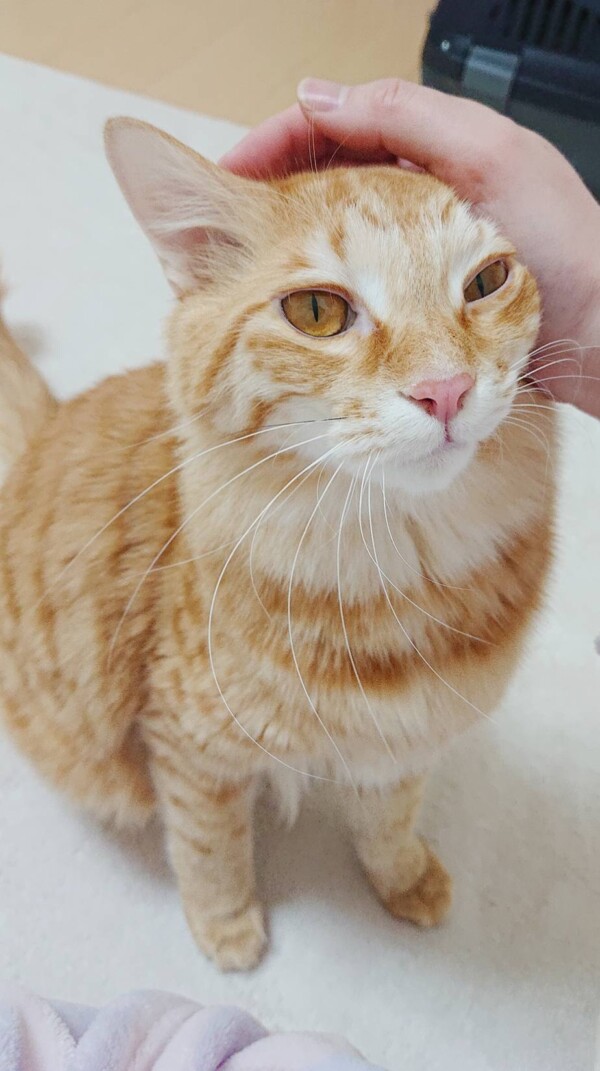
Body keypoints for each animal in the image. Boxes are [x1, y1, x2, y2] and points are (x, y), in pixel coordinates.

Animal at [0, 118, 555, 971]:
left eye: (487, 281)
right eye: (319, 311)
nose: (446, 389)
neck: (399, 580)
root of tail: (42, 430)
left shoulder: (405, 744)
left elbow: (389, 820)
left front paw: (403, 879)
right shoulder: (189, 746)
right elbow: (210, 846)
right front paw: (227, 929)